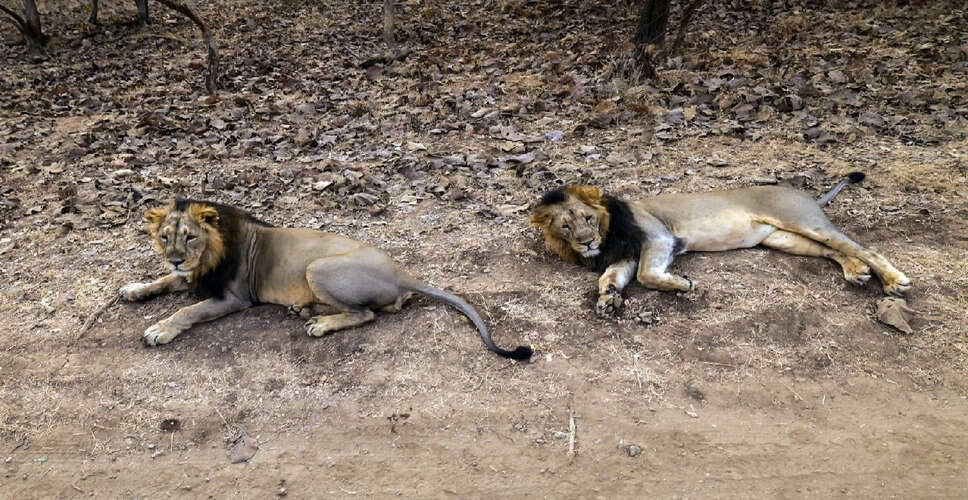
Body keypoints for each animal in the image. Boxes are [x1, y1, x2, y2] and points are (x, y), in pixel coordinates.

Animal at [120, 199, 532, 360]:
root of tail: (403, 273)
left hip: (316, 267)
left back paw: (318, 323)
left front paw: (159, 330)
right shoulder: (191, 277)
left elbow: (187, 311)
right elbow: (161, 282)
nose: (175, 258)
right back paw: (304, 311)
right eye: (164, 237)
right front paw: (134, 290)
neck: (206, 257)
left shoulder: (232, 297)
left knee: (366, 314)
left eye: (190, 236)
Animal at [530, 173, 911, 317]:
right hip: (783, 239)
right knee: (837, 251)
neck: (609, 234)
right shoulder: (626, 255)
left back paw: (894, 281)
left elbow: (646, 275)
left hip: (802, 221)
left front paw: (682, 284)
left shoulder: (660, 237)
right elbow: (609, 277)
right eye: (566, 226)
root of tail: (803, 194)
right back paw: (856, 272)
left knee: (863, 248)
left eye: (588, 218)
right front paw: (607, 299)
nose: (586, 243)